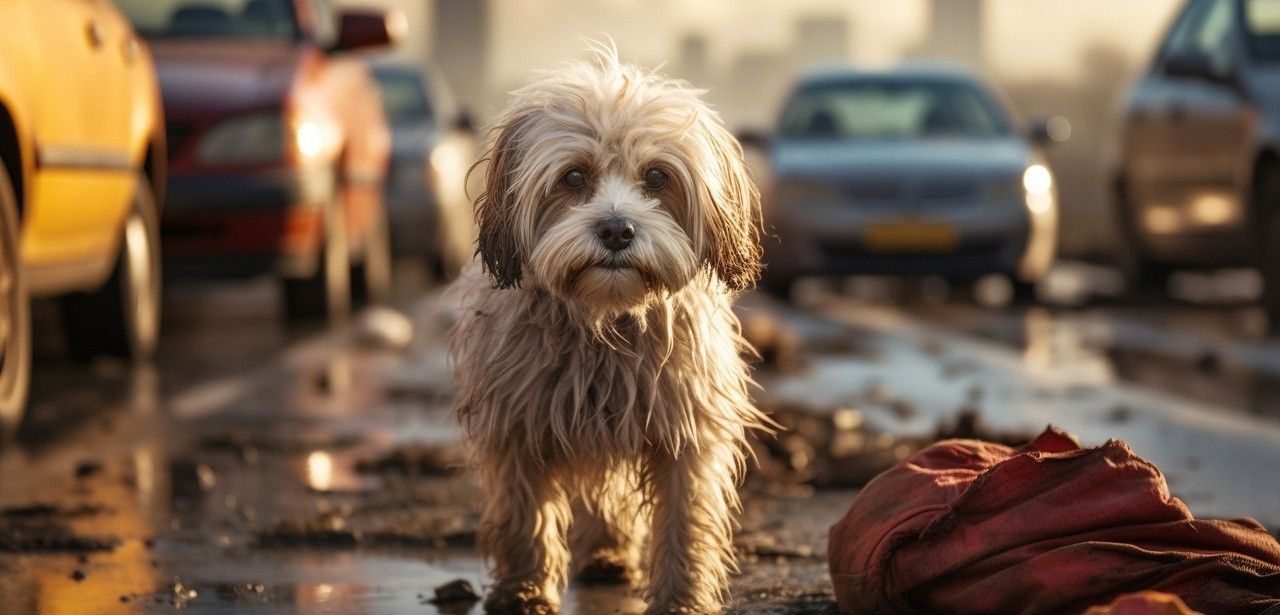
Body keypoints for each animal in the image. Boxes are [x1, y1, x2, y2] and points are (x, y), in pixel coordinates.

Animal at [450, 43, 768, 615]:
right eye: (574, 177)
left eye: (657, 177)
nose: (617, 230)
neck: (604, 319)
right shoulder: (518, 425)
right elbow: (524, 517)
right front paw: (524, 590)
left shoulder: (684, 430)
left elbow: (684, 521)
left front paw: (683, 599)